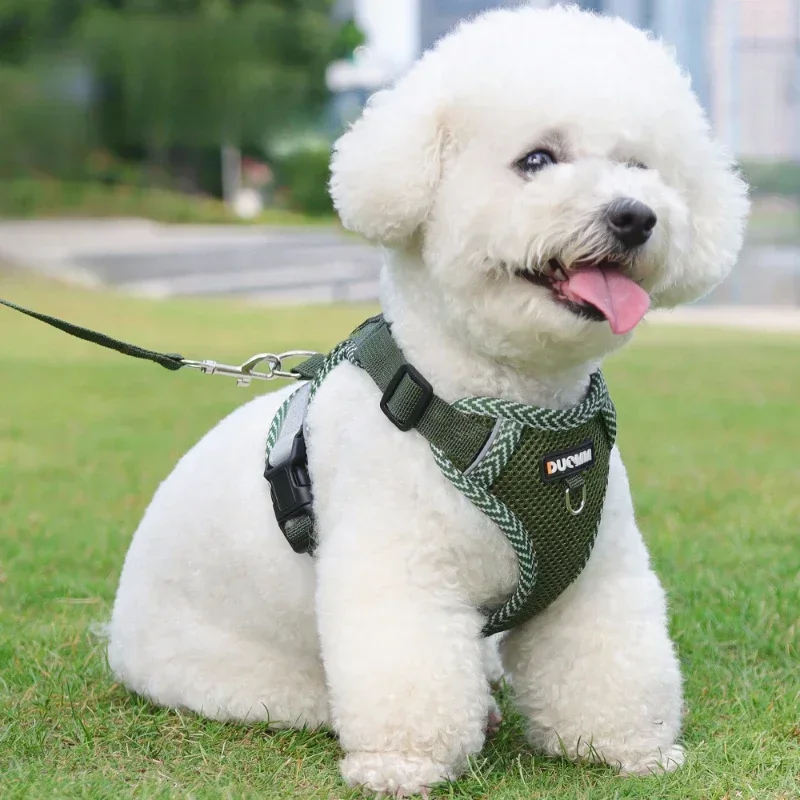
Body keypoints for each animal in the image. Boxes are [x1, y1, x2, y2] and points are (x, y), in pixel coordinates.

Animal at [106, 4, 752, 792]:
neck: (503, 411)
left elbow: (609, 655)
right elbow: (407, 665)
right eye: (537, 160)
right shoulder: (399, 568)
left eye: (641, 167)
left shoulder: (599, 572)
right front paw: (404, 764)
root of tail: (117, 635)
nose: (635, 215)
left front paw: (627, 746)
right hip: (244, 678)